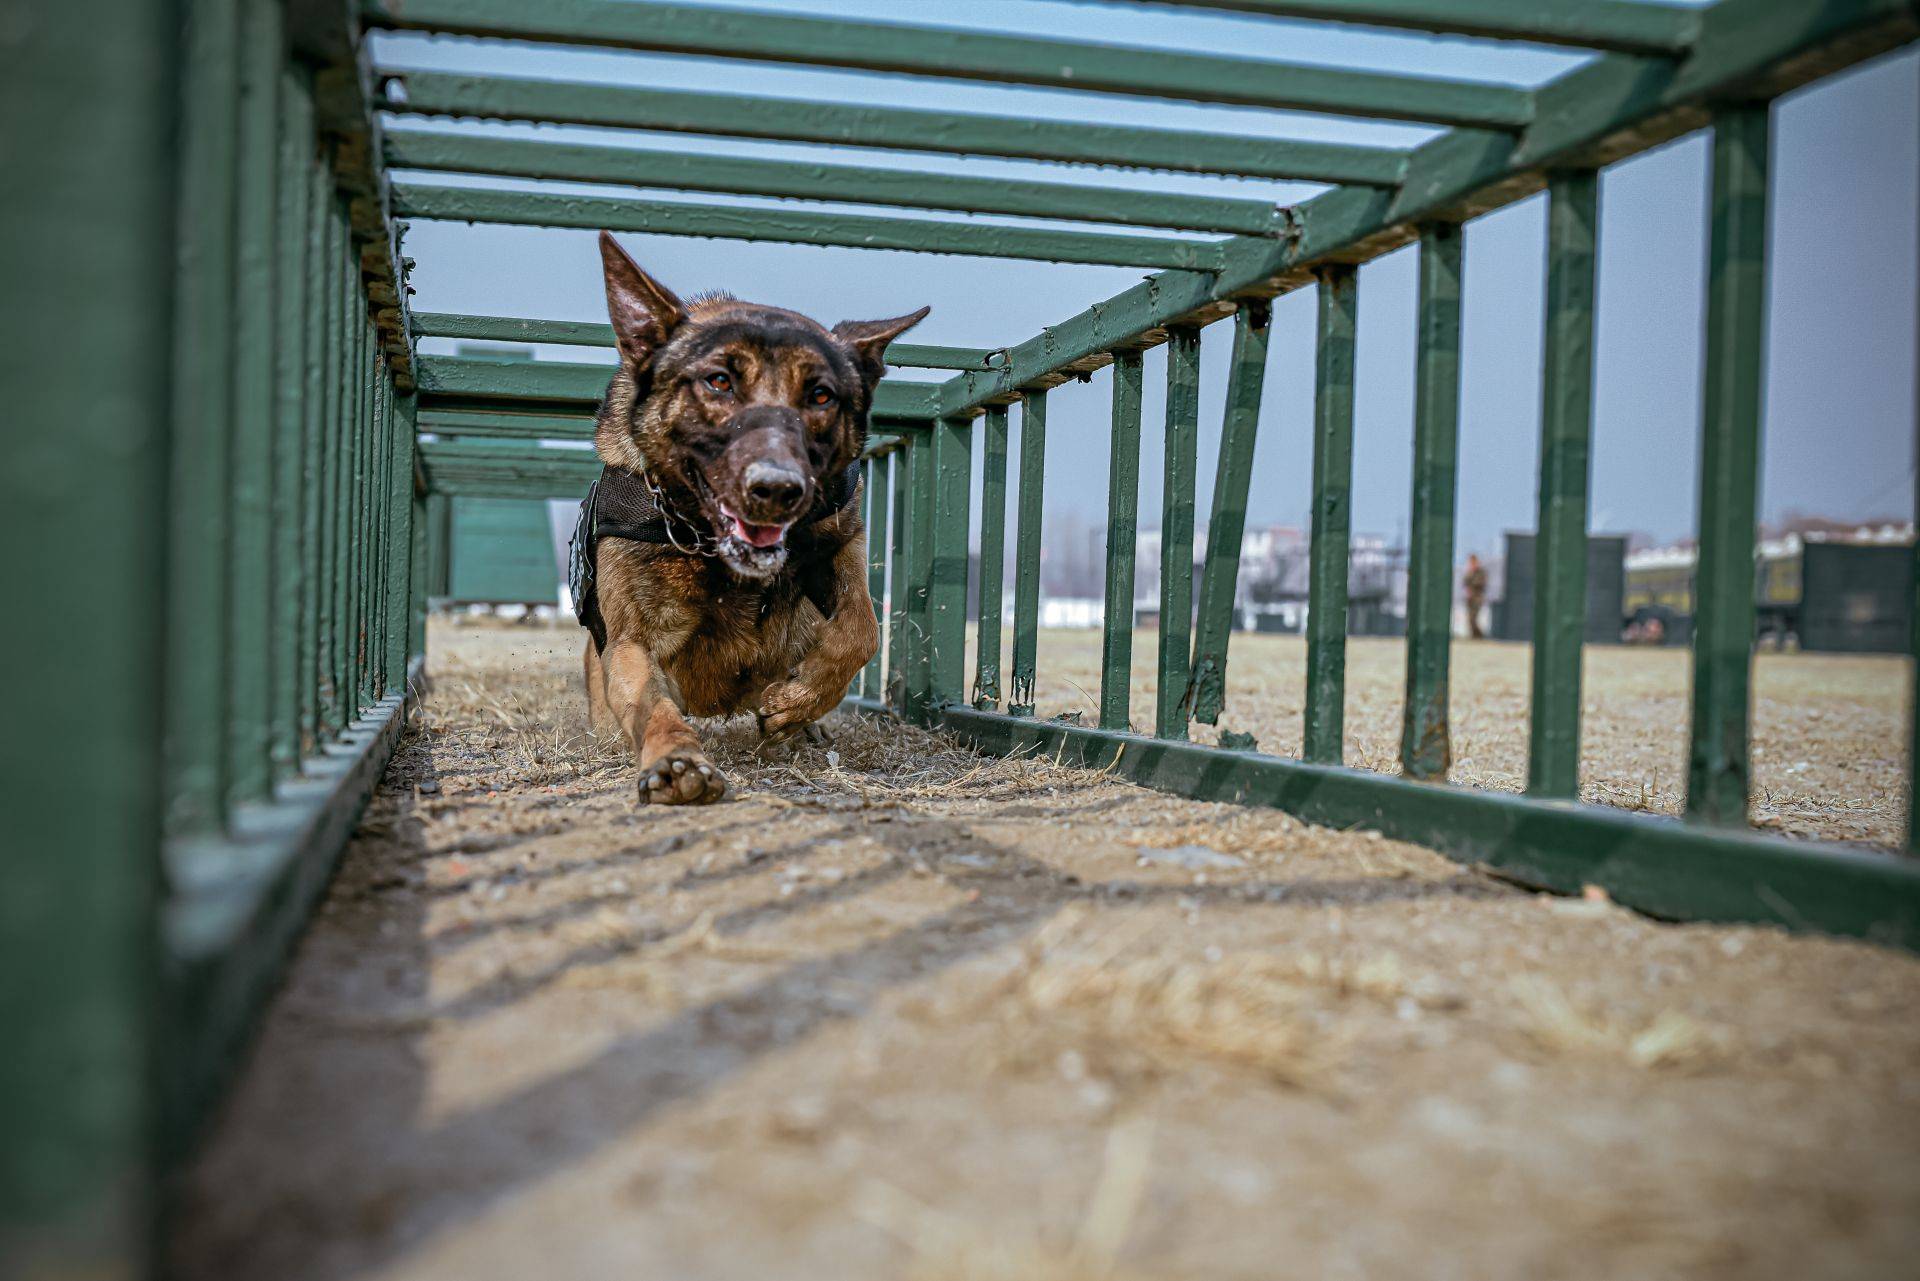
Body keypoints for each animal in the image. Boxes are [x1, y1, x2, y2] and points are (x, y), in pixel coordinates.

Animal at [568, 233, 929, 802]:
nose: (777, 489)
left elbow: (861, 629)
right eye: (718, 383)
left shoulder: (842, 543)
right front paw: (675, 761)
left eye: (820, 395)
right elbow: (654, 706)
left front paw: (798, 700)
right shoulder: (632, 644)